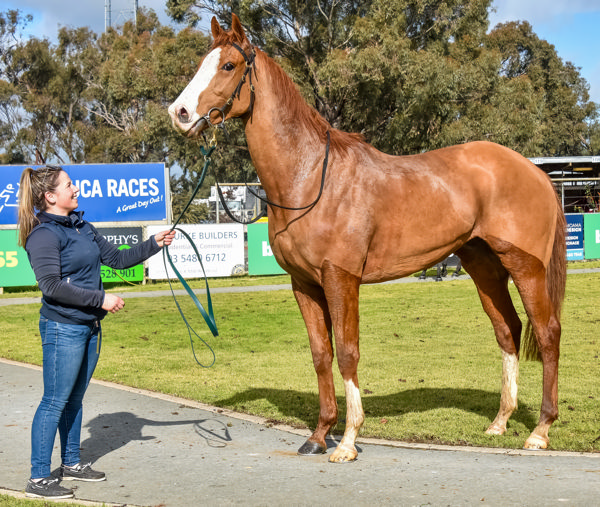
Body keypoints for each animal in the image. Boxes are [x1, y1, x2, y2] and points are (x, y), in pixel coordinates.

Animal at [169, 14, 568, 464]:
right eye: (203, 62)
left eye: (228, 65)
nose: (179, 113)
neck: (311, 177)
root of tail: (534, 171)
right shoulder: (303, 284)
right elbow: (321, 355)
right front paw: (318, 435)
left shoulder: (340, 279)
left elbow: (347, 352)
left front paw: (346, 441)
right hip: (483, 265)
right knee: (508, 330)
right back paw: (500, 422)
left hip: (525, 267)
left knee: (547, 332)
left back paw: (540, 430)